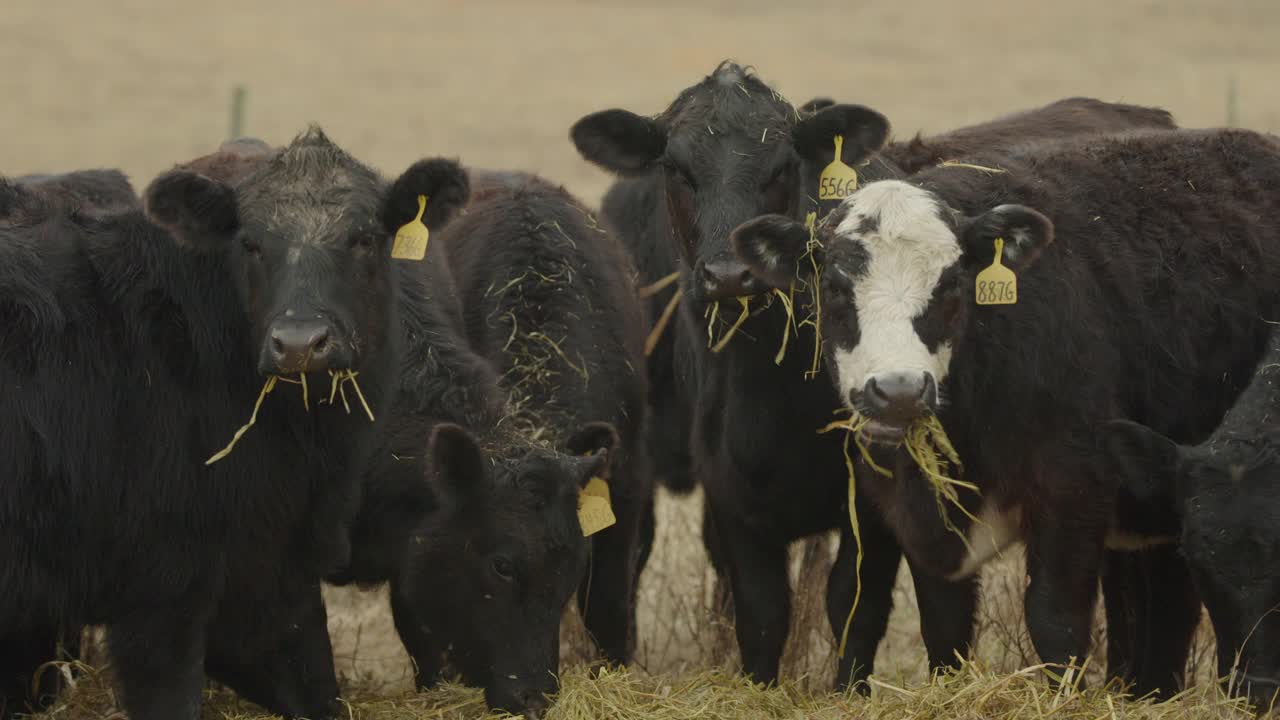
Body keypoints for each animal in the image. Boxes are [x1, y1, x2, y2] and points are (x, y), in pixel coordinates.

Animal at [570, 58, 1177, 686]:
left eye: (784, 164)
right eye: (675, 168)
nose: (731, 274)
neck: (769, 390)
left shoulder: (874, 508)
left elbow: (853, 607)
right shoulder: (730, 496)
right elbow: (760, 616)